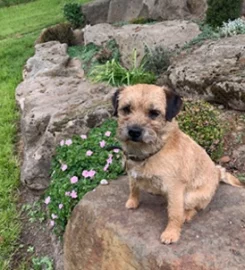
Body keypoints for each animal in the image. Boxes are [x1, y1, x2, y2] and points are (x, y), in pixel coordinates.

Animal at [112, 84, 244, 245]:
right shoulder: (132, 173)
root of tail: (217, 173)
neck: (150, 153)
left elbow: (174, 213)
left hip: (190, 196)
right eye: (126, 109)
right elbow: (133, 187)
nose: (134, 131)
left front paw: (171, 233)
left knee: (194, 208)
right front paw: (132, 201)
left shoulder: (174, 188)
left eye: (154, 113)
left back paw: (186, 214)